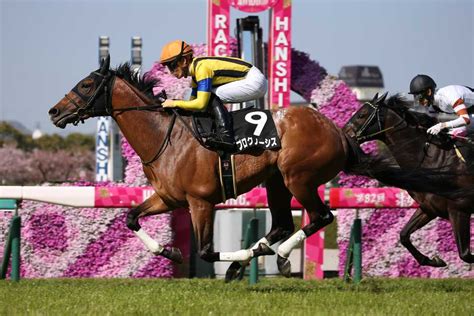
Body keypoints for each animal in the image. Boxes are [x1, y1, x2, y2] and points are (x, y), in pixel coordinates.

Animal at [342, 93, 472, 266]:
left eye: (362, 114)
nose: (343, 134)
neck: (435, 160)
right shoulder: (429, 209)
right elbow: (403, 235)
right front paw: (433, 260)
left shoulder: (459, 210)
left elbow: (465, 254)